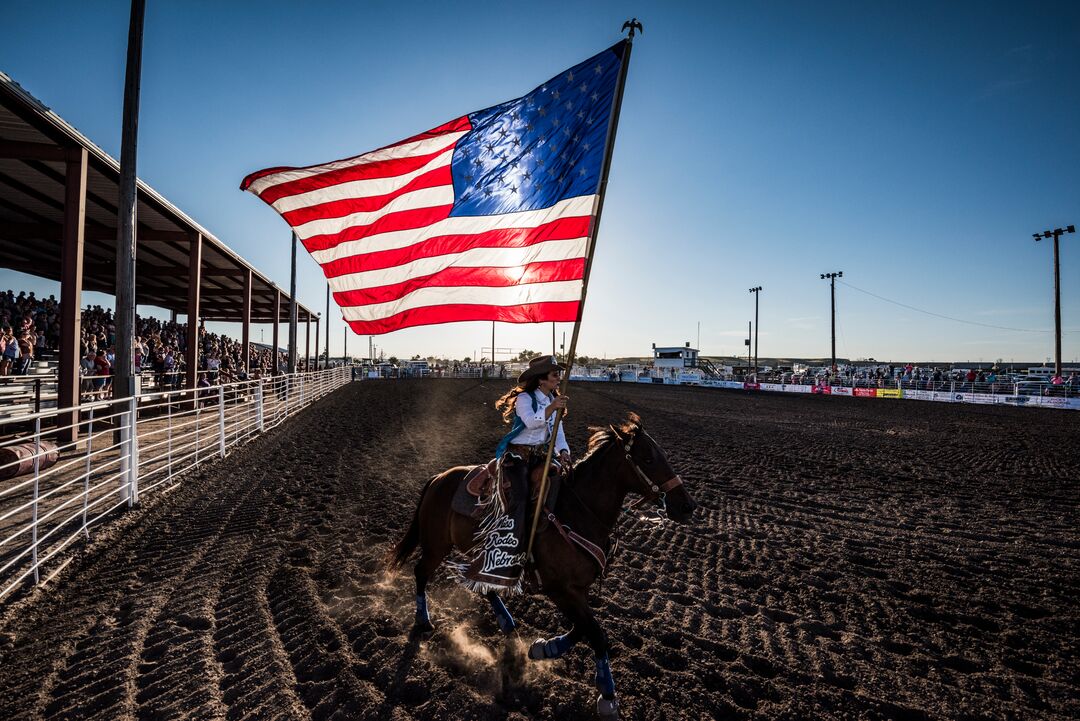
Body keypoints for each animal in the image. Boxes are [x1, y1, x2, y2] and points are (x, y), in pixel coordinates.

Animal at [388, 414, 699, 716]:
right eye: (647, 459)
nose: (687, 506)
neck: (578, 511)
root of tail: (439, 477)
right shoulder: (558, 588)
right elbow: (595, 633)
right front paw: (607, 695)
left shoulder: (578, 588)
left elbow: (583, 628)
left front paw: (545, 648)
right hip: (436, 545)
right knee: (421, 572)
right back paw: (423, 620)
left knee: (485, 586)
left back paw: (507, 623)